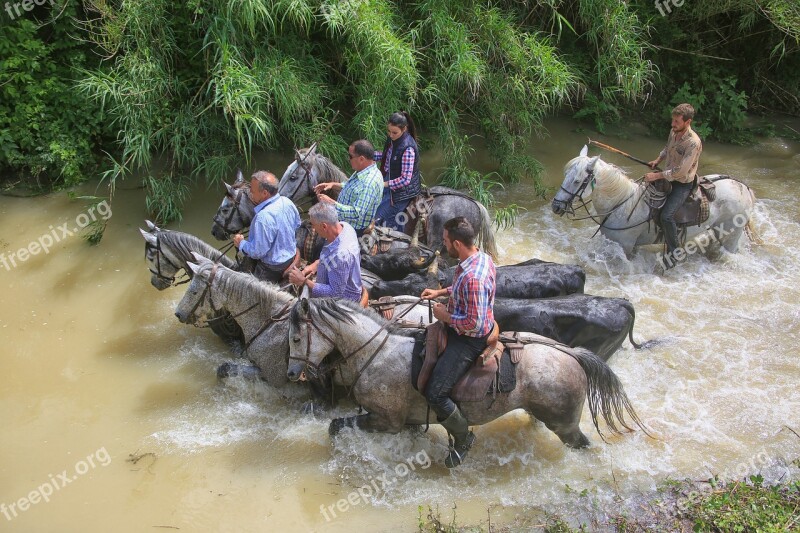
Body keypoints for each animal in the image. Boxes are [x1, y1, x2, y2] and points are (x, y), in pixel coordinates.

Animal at [284, 298, 648, 456]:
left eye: (297, 338)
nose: (291, 373)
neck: (377, 352)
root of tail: (571, 354)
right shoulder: (407, 422)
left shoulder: (385, 421)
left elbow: (335, 427)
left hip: (565, 424)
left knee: (581, 444)